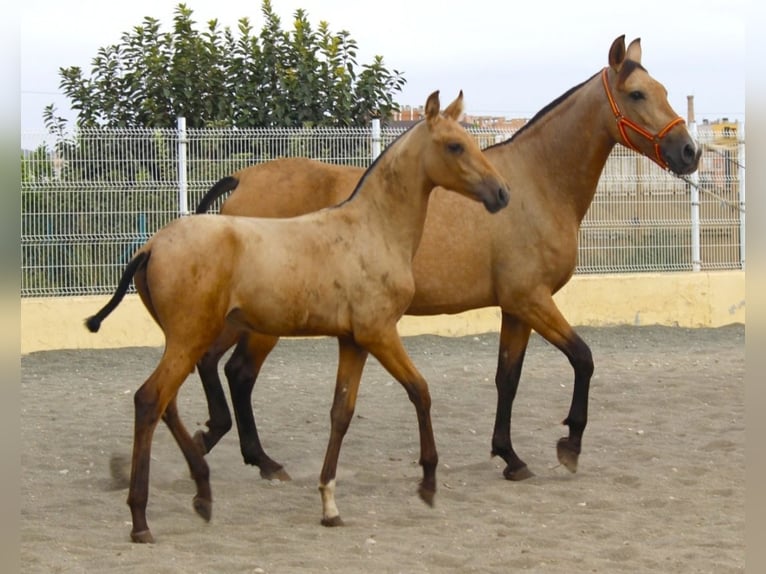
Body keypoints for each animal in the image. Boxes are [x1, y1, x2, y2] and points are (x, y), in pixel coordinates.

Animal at [85, 90, 510, 543]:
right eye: (455, 146)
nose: (502, 194)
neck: (371, 230)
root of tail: (150, 247)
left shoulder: (353, 341)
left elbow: (341, 413)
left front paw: (329, 504)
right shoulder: (379, 333)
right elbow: (421, 391)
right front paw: (428, 483)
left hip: (188, 339)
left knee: (169, 403)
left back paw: (203, 490)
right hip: (192, 337)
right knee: (151, 399)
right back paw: (142, 518)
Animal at [190, 35, 701, 484]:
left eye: (664, 91)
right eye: (636, 94)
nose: (689, 152)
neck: (536, 182)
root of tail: (242, 179)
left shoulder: (516, 308)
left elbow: (507, 378)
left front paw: (510, 457)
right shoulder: (532, 300)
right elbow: (583, 359)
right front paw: (569, 446)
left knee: (217, 364)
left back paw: (224, 442)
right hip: (266, 321)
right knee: (237, 372)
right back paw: (253, 456)